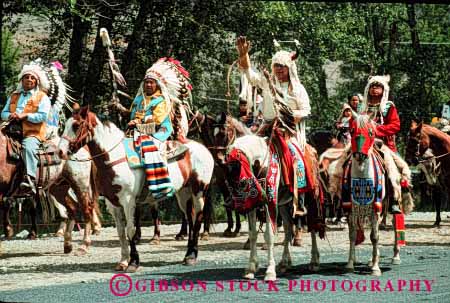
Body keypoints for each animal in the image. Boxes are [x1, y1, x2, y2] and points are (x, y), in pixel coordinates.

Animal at [59, 108, 214, 272]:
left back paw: (192, 256)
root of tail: (204, 149)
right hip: (184, 194)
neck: (115, 158)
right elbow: (121, 232)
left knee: (197, 220)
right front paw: (123, 261)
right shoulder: (113, 204)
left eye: (76, 125)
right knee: (190, 219)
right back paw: (188, 255)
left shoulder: (128, 202)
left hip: (199, 191)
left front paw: (133, 262)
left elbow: (130, 230)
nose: (60, 152)